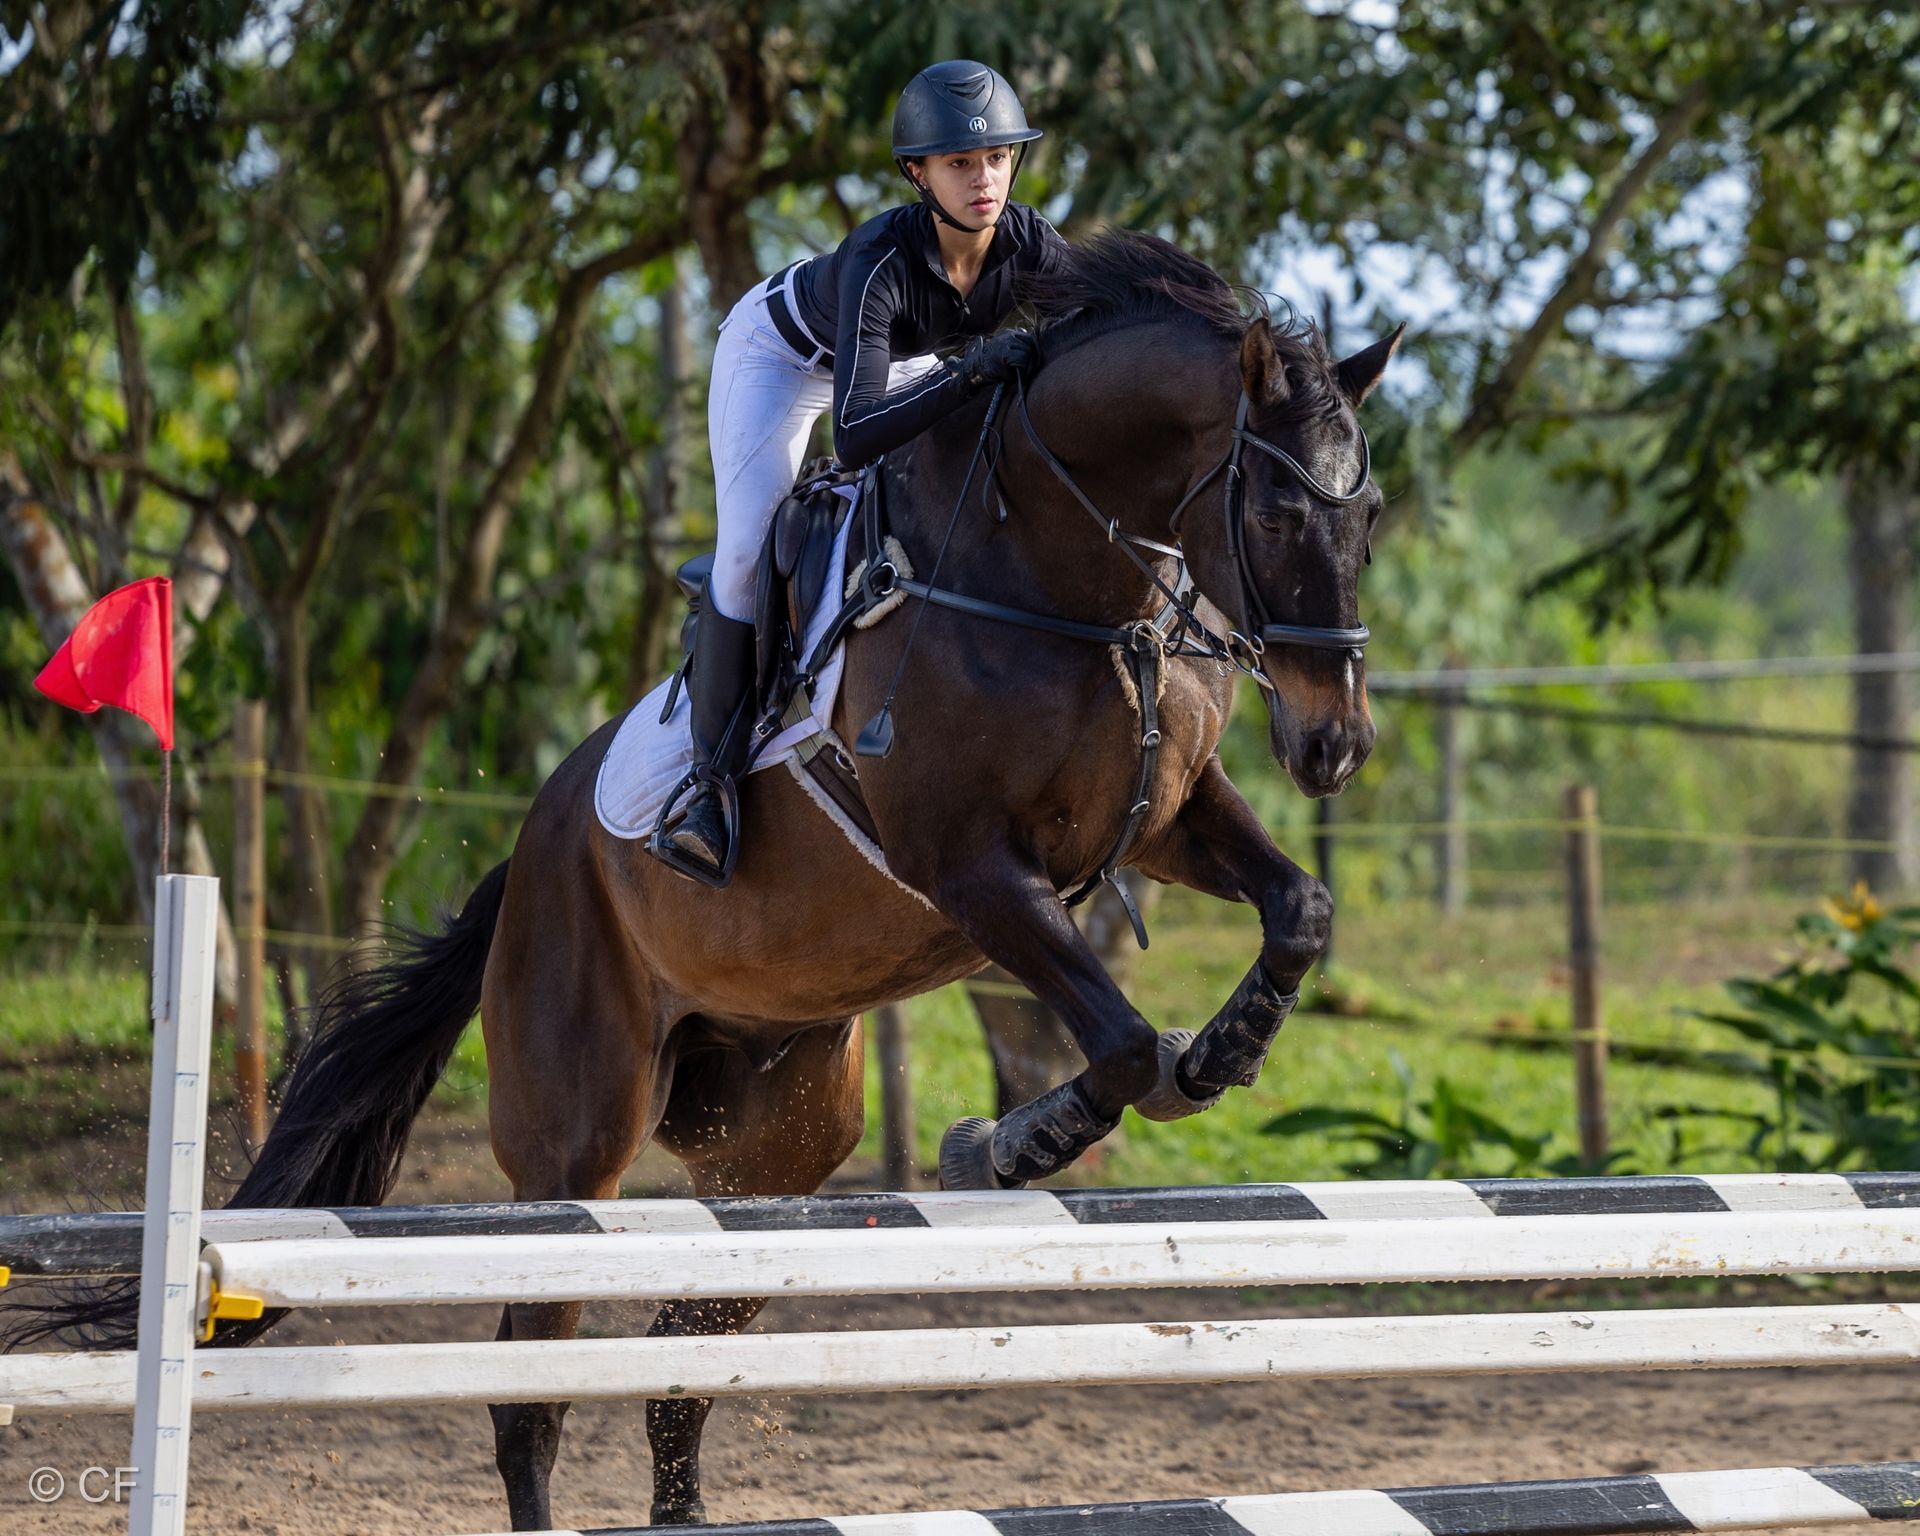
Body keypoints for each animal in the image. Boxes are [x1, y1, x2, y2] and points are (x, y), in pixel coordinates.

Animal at [7, 231, 1397, 1530]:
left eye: (1370, 517)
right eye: (1279, 517)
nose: (1336, 744)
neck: (1058, 579)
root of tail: (532, 856)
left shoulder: (1160, 820)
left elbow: (1300, 910)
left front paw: (1224, 1050)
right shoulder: (968, 867)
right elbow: (1113, 1046)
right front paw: (1014, 1139)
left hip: (771, 1152)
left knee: (679, 1370)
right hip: (575, 1146)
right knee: (532, 1395)